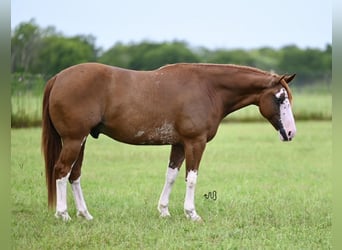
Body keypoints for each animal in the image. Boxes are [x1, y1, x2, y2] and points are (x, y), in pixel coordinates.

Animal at [41, 62, 296, 221]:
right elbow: (191, 178)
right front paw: (191, 213)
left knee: (74, 174)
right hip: (73, 140)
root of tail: (58, 78)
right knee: (62, 170)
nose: (291, 133)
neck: (208, 88)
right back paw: (63, 214)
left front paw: (164, 211)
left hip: (81, 141)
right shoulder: (195, 142)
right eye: (279, 98)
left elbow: (171, 176)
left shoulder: (180, 144)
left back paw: (85, 214)